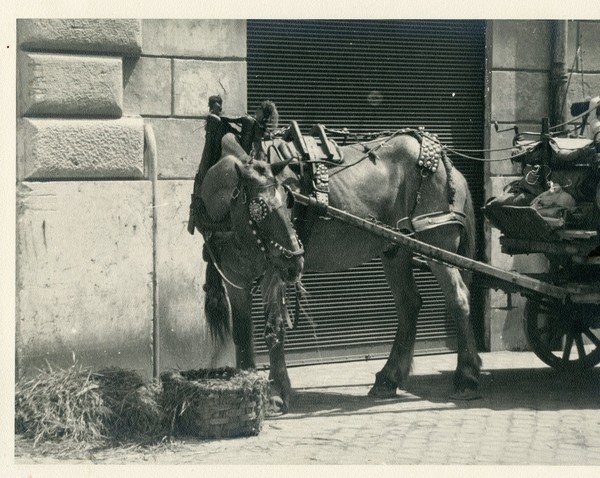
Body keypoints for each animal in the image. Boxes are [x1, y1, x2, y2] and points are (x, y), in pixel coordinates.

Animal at [200, 130, 482, 410]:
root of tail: (447, 163)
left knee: (458, 298)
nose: (296, 261)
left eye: (289, 201)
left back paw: (466, 378)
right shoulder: (233, 273)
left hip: (438, 241)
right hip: (396, 249)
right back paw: (388, 379)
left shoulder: (274, 271)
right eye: (259, 208)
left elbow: (274, 329)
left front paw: (276, 392)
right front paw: (247, 386)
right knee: (409, 304)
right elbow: (241, 331)